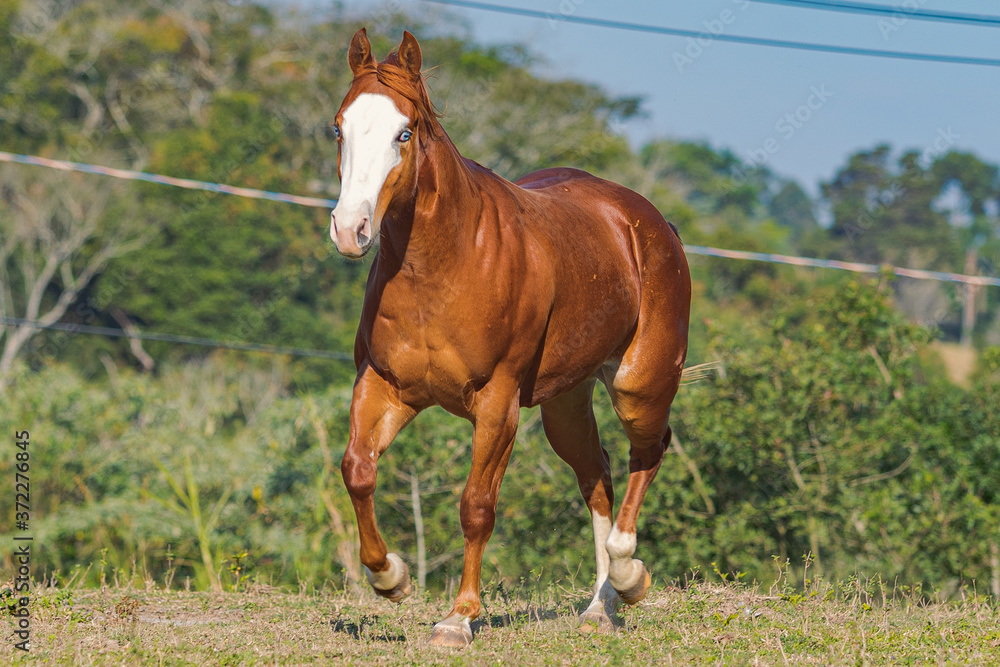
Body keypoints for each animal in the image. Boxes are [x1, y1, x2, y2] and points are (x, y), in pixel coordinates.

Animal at [330, 28, 691, 647]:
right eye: (339, 128)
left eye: (405, 132)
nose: (351, 230)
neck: (443, 266)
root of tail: (645, 221)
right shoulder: (384, 386)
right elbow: (358, 469)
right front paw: (391, 578)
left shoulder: (497, 403)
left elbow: (477, 505)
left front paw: (458, 618)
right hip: (565, 404)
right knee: (597, 476)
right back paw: (600, 606)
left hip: (638, 383)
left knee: (647, 452)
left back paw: (629, 576)